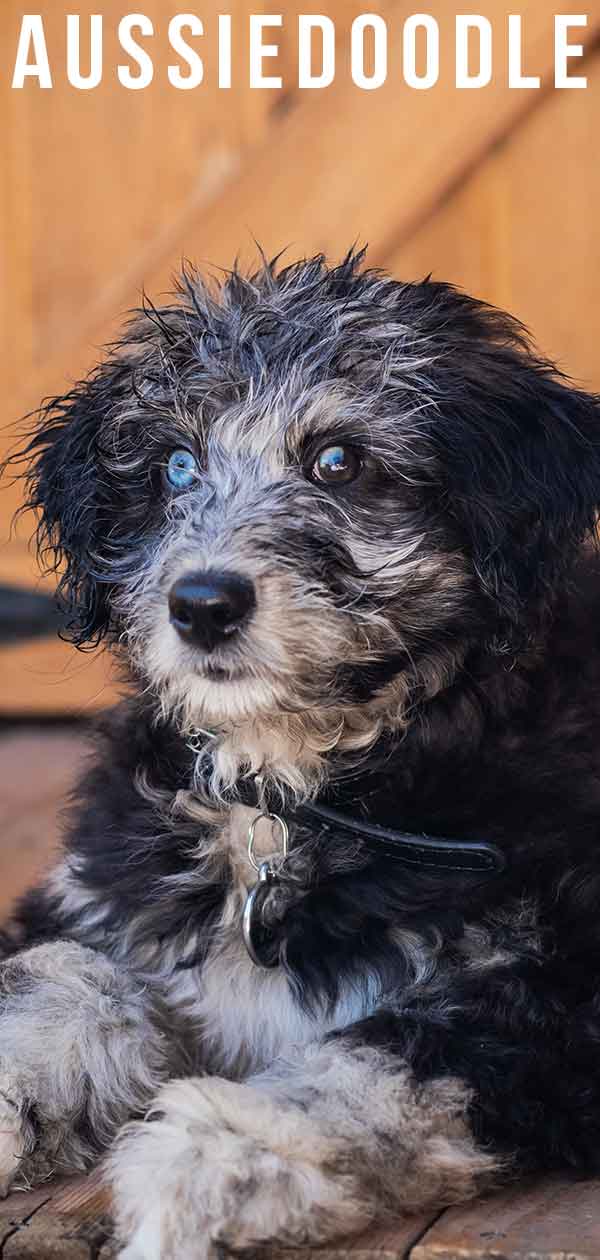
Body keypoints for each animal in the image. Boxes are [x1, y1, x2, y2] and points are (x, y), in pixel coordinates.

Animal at [1, 248, 600, 1260]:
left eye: (339, 461)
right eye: (174, 466)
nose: (202, 604)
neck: (282, 795)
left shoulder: (558, 993)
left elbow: (385, 1065)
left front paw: (213, 1160)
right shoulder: (96, 894)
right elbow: (61, 977)